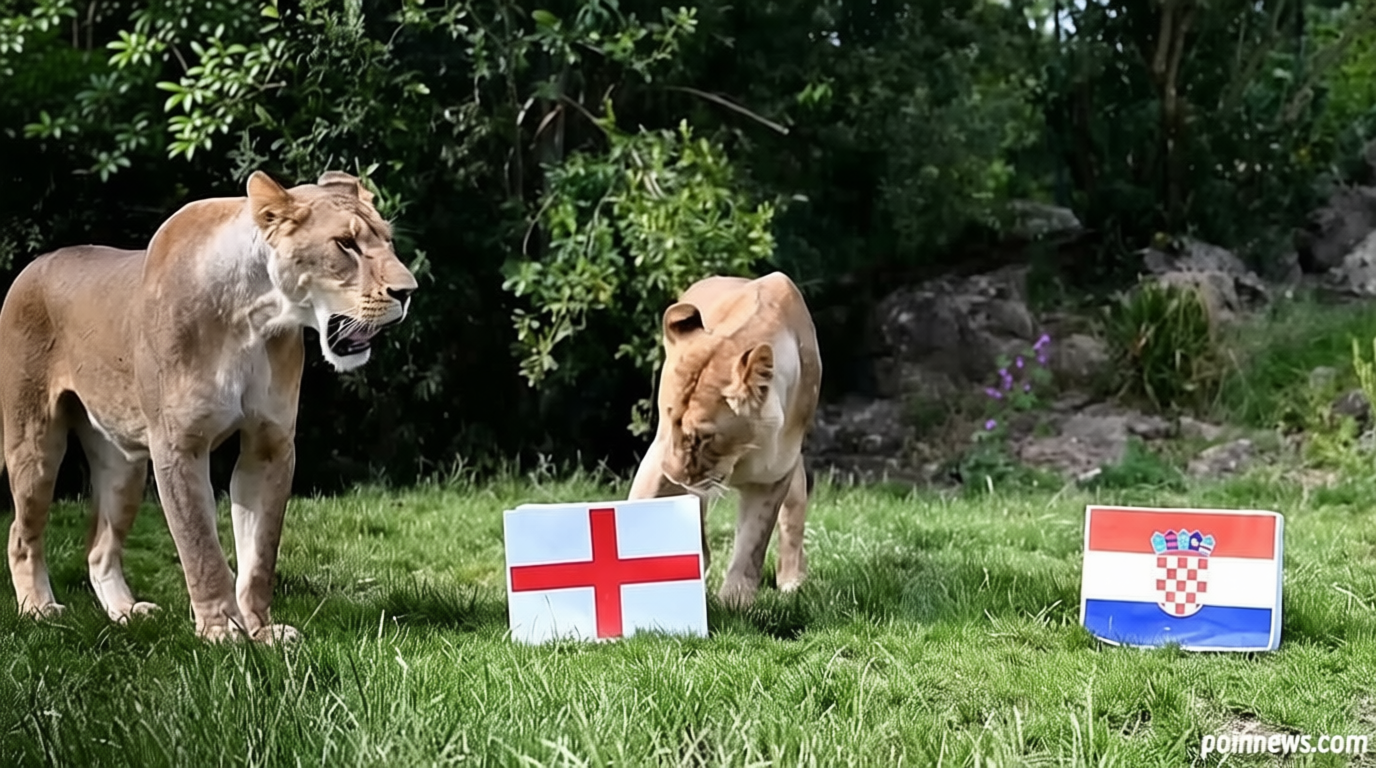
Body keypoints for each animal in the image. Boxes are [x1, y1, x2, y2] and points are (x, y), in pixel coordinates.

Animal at [0, 170, 418, 643]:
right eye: (344, 244)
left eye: (387, 240)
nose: (409, 292)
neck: (254, 318)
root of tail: (35, 263)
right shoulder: (180, 445)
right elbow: (201, 549)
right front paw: (222, 631)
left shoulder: (270, 445)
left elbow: (259, 555)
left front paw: (261, 632)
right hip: (35, 444)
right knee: (20, 533)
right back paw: (38, 608)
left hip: (123, 466)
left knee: (99, 548)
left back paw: (125, 612)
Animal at [628, 272, 822, 608]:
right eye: (669, 418)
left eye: (704, 437)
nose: (672, 474)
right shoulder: (660, 453)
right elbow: (642, 505)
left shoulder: (774, 474)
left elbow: (752, 543)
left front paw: (736, 602)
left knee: (793, 517)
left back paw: (791, 580)